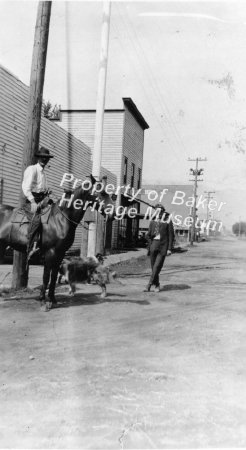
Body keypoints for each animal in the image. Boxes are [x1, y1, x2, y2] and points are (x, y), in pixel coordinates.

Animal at [0, 175, 115, 310]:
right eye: (100, 193)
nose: (113, 213)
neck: (61, 219)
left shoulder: (60, 254)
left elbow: (54, 276)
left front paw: (52, 299)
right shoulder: (50, 253)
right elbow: (46, 276)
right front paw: (43, 301)